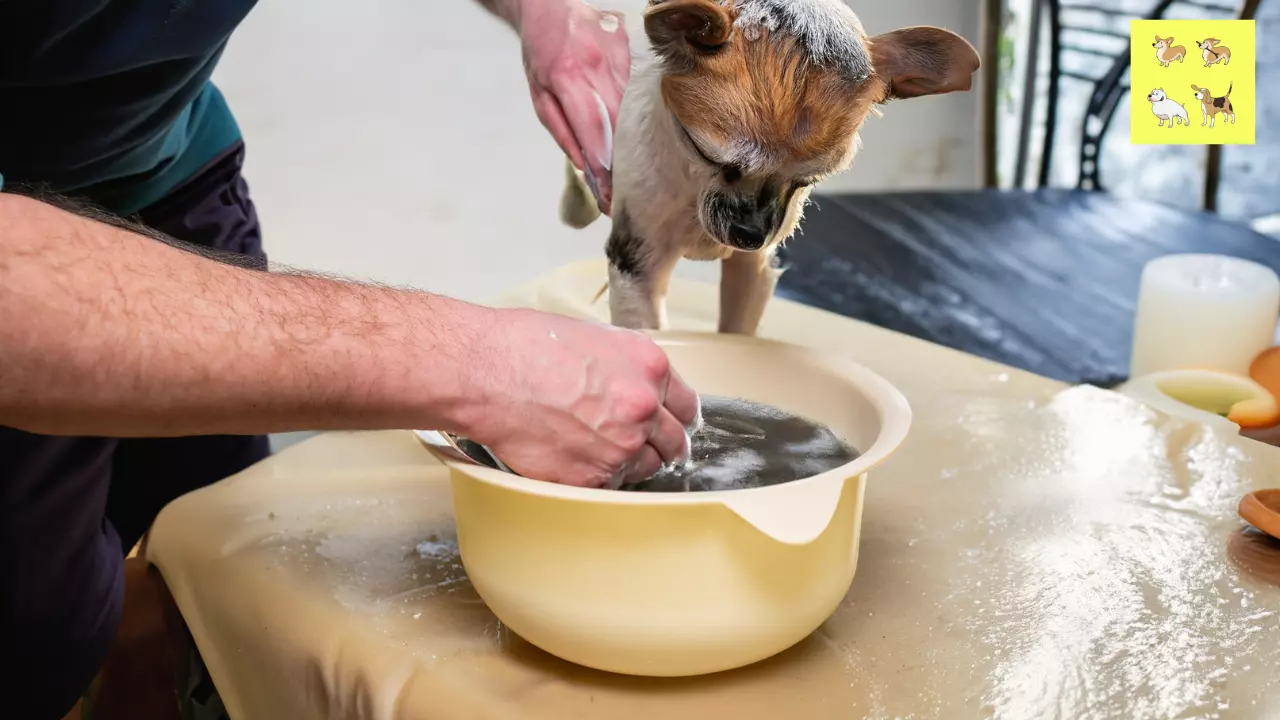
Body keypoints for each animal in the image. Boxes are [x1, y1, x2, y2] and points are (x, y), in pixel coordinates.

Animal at [560, 0, 977, 330]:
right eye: (708, 154)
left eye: (807, 181)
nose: (750, 234)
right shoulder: (636, 266)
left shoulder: (753, 268)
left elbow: (737, 331)